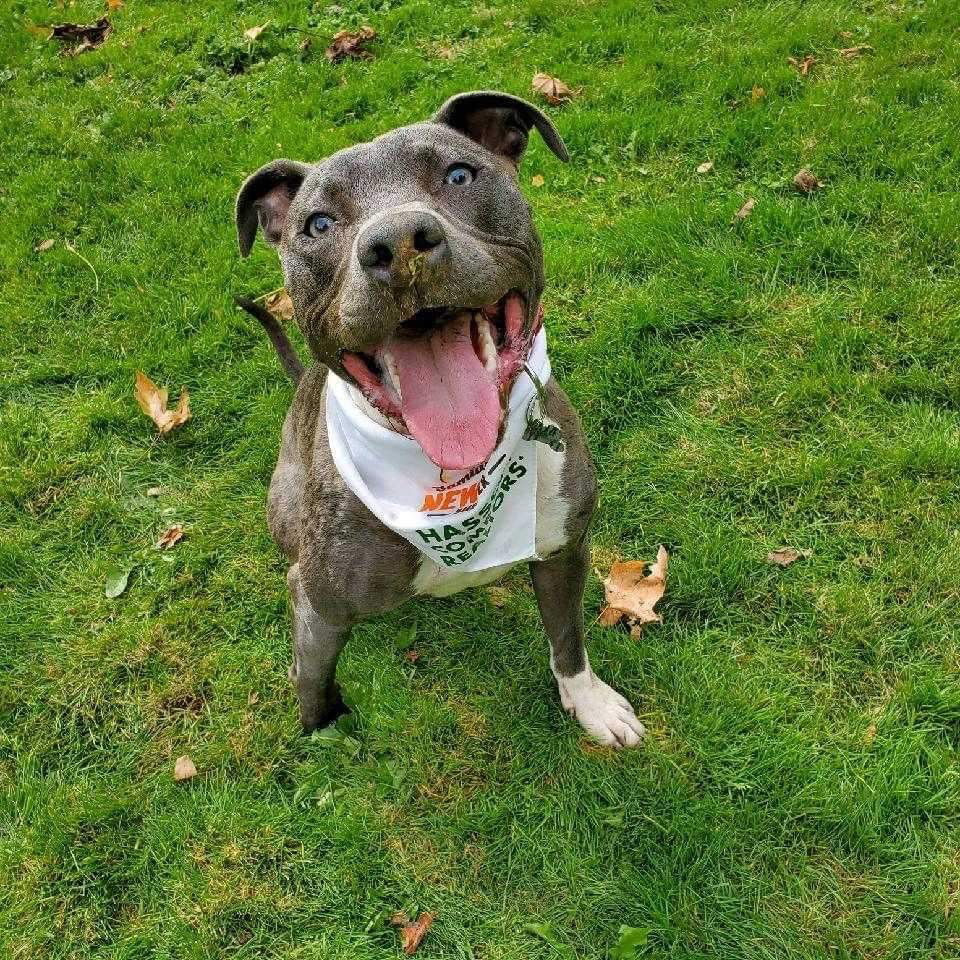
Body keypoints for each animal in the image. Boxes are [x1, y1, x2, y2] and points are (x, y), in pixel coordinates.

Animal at [234, 90, 644, 752]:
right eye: (318, 224)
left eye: (458, 176)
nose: (397, 241)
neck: (453, 480)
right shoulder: (319, 604)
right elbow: (312, 682)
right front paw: (324, 735)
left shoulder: (563, 550)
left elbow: (568, 642)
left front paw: (590, 704)